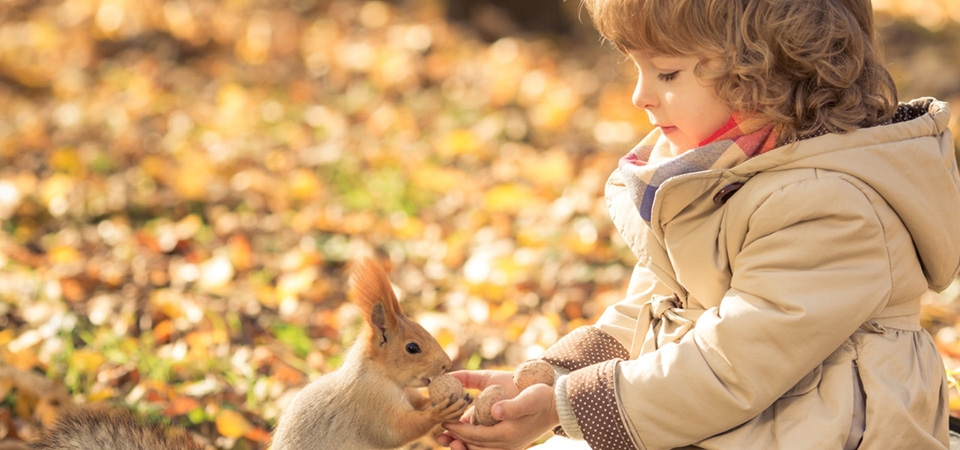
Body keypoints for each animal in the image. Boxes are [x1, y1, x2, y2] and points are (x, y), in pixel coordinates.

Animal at [272, 258, 470, 450]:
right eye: (412, 348)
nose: (447, 364)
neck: (384, 377)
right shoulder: (371, 405)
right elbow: (397, 432)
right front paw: (439, 413)